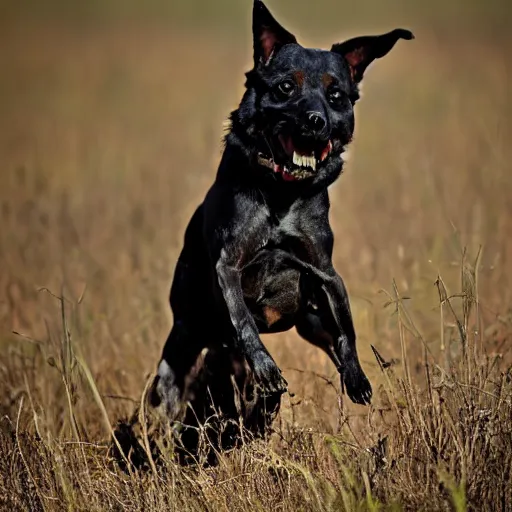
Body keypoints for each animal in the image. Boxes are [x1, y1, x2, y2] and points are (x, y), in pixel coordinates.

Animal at [148, 0, 412, 456]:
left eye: (336, 96)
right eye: (285, 88)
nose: (316, 120)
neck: (281, 193)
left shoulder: (325, 272)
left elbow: (347, 331)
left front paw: (357, 377)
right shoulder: (228, 268)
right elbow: (244, 323)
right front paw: (267, 369)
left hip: (310, 321)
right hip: (180, 347)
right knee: (175, 394)